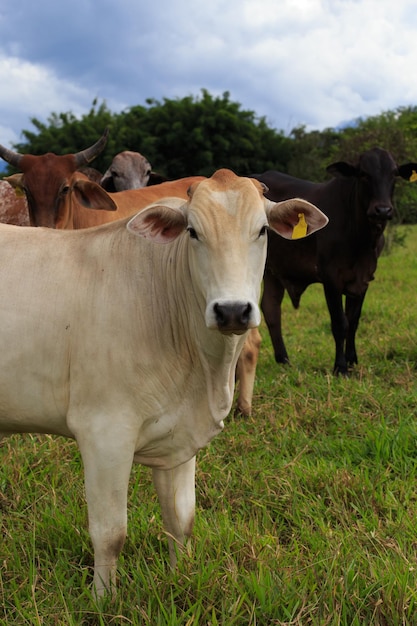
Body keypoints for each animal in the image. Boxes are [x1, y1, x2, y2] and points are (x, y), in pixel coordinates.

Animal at [252, 149, 416, 372]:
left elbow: (353, 321)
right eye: (363, 174)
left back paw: (284, 360)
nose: (382, 210)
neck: (362, 239)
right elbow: (340, 323)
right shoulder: (331, 278)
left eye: (394, 174)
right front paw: (340, 366)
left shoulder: (363, 279)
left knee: (271, 308)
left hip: (273, 271)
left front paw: (352, 360)